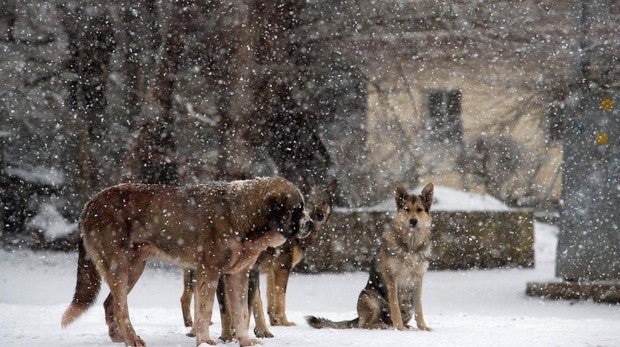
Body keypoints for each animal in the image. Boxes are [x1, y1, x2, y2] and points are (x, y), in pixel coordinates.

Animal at [60, 178, 314, 346]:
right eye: (297, 210)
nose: (311, 224)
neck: (243, 216)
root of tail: (89, 204)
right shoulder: (209, 273)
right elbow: (206, 311)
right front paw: (205, 341)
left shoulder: (238, 275)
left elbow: (241, 312)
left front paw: (245, 340)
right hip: (118, 268)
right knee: (122, 308)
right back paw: (132, 339)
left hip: (134, 269)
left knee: (110, 304)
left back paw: (120, 337)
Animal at [179, 185, 334, 340]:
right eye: (305, 205)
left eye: (323, 203)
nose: (316, 218)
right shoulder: (282, 268)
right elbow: (279, 300)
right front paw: (283, 322)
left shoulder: (268, 271)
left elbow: (266, 301)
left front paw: (270, 325)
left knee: (187, 299)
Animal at [304, 182, 432, 332]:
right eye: (406, 209)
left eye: (419, 210)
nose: (413, 221)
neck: (410, 245)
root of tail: (358, 317)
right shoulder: (392, 279)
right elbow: (395, 307)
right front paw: (399, 328)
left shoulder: (418, 280)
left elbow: (419, 308)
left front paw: (423, 327)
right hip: (370, 298)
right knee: (364, 324)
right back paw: (381, 325)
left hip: (407, 305)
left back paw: (403, 325)